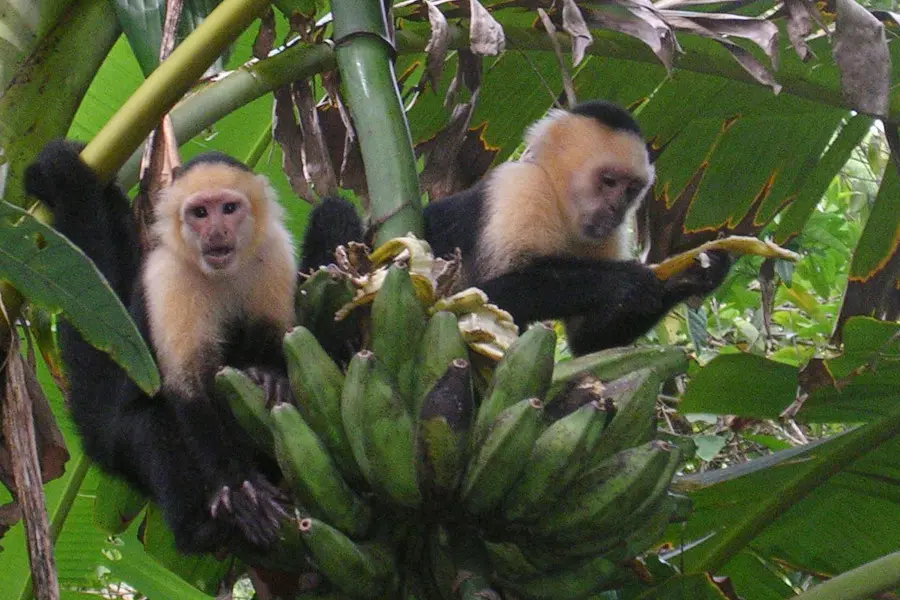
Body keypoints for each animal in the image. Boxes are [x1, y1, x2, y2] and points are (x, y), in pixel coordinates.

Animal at [24, 142, 298, 552]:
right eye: (199, 213)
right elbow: (188, 386)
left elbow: (275, 335)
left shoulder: (276, 249)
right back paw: (197, 529)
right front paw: (237, 487)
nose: (216, 231)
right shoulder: (167, 277)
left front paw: (270, 376)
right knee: (152, 424)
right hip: (121, 442)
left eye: (228, 208)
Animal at [306, 98, 728, 352]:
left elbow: (587, 342)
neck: (558, 202)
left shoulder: (604, 237)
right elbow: (485, 296)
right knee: (335, 213)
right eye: (608, 181)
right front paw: (625, 280)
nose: (615, 210)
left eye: (631, 189)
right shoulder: (521, 189)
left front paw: (693, 275)